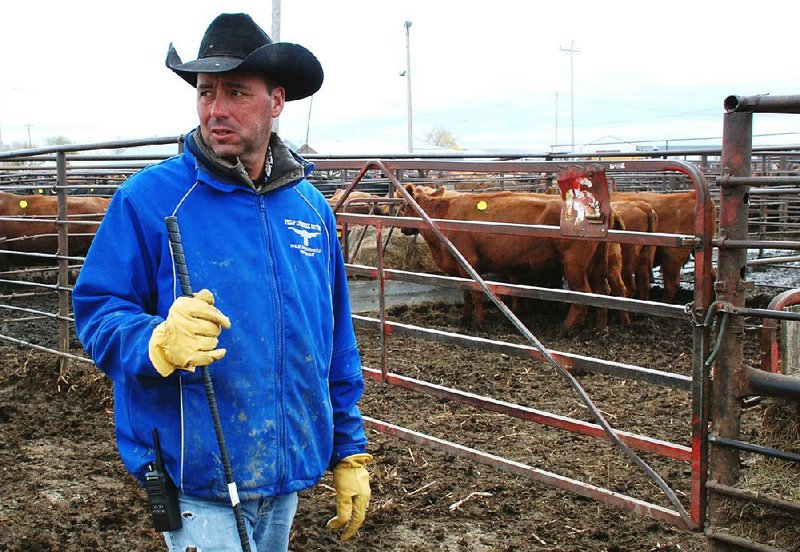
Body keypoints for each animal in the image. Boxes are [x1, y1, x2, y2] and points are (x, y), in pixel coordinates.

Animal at [400, 185, 612, 330]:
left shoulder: (470, 263)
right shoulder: (459, 269)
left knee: (582, 294)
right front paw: (465, 318)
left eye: (403, 208)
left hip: (574, 264)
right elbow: (466, 294)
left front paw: (478, 323)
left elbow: (476, 295)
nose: (403, 229)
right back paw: (597, 327)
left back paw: (567, 327)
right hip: (593, 266)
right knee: (598, 294)